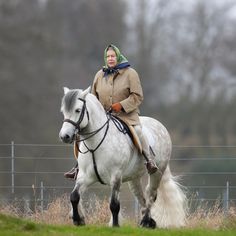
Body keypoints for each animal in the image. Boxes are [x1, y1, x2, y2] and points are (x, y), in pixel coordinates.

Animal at [58, 87, 186, 229]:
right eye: (64, 111)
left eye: (77, 110)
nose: (65, 136)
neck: (95, 145)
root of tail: (159, 124)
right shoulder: (85, 176)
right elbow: (74, 196)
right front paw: (78, 220)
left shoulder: (116, 176)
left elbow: (114, 204)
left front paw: (115, 225)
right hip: (134, 177)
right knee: (141, 197)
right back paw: (148, 222)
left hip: (157, 172)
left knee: (151, 194)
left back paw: (146, 220)